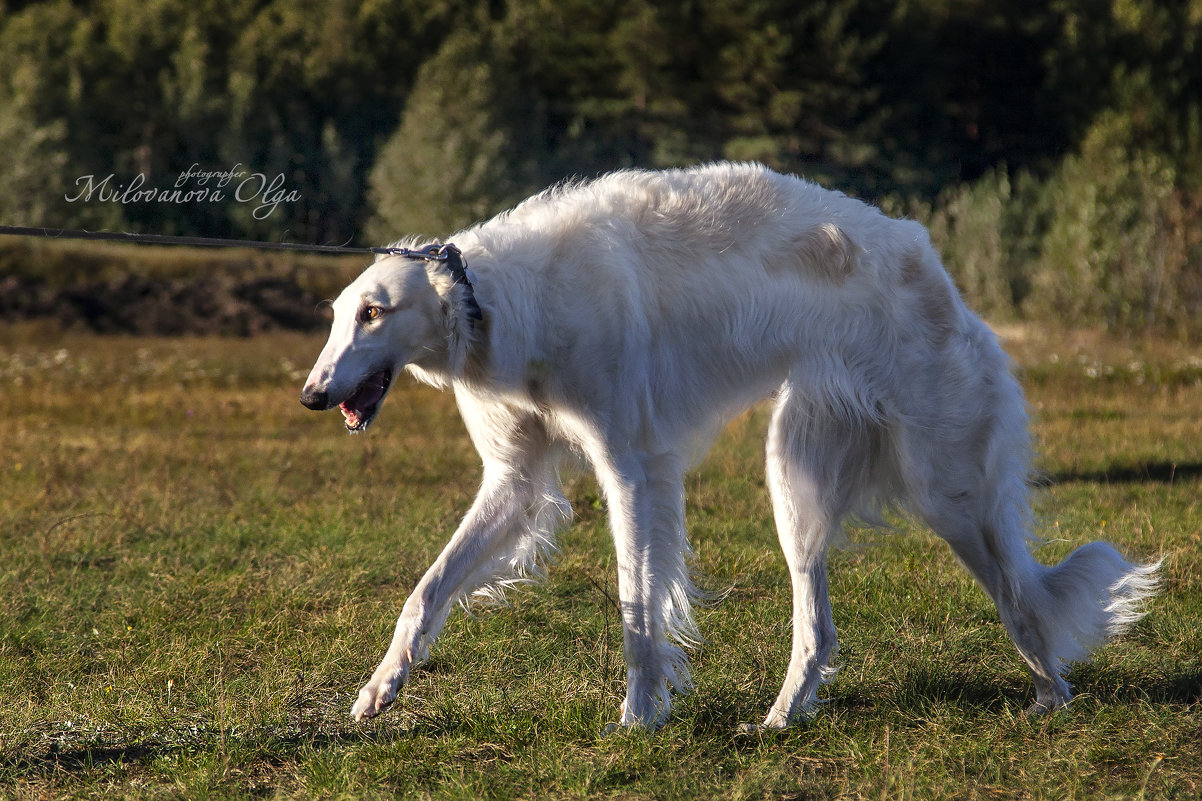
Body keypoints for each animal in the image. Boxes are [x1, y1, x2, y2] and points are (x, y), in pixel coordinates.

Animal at [298, 158, 1153, 726]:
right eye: (338, 315)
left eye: (374, 312)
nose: (312, 394)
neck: (504, 298)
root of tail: (939, 274)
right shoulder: (516, 479)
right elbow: (424, 592)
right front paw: (379, 688)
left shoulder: (632, 468)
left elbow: (638, 610)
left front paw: (639, 716)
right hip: (799, 474)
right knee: (820, 628)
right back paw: (780, 718)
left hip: (943, 487)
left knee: (1018, 596)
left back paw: (1050, 694)